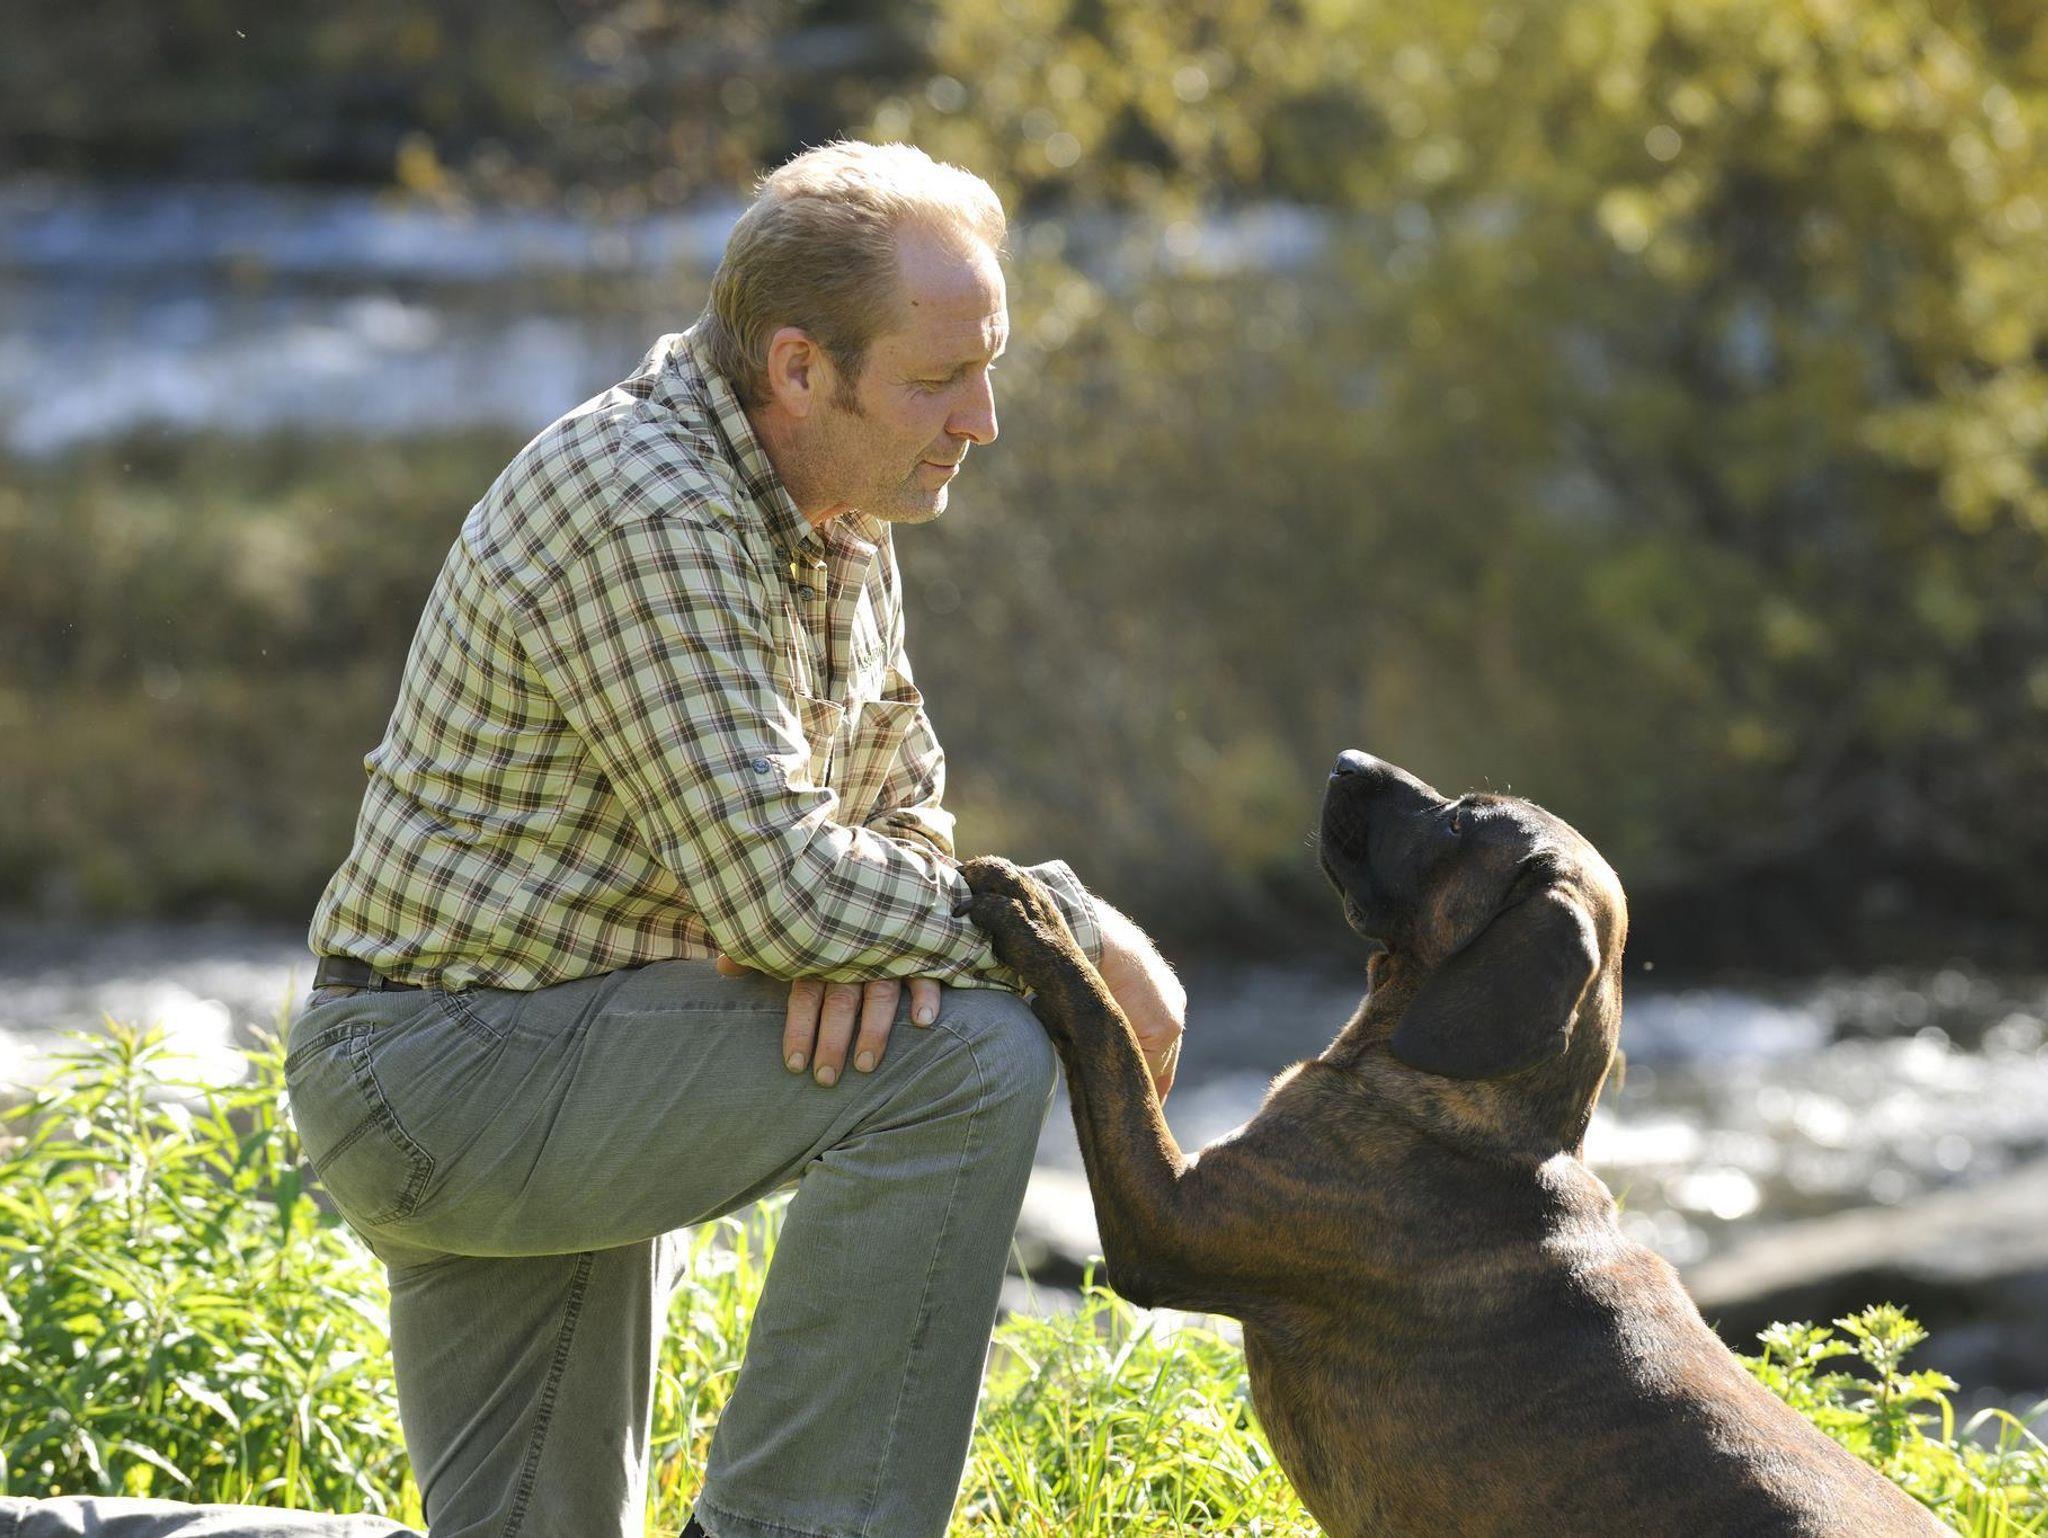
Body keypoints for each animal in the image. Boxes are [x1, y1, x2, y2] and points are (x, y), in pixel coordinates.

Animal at [961, 750, 1944, 1537]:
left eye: (1462, 821)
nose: (1346, 759)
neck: (1473, 1120)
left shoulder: (1164, 1220)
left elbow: (1107, 1031)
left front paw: (1039, 920)